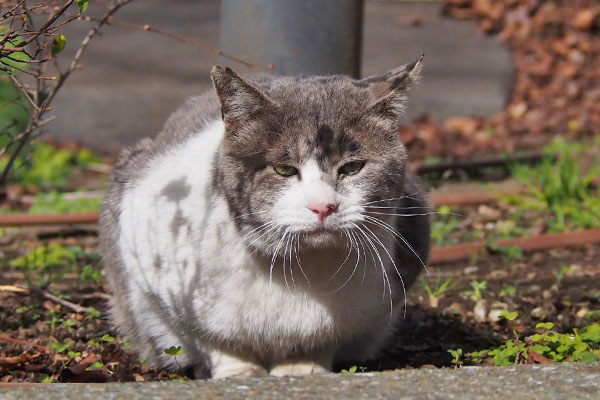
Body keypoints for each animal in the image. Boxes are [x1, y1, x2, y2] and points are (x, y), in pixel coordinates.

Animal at [98, 57, 428, 380]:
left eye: (352, 168)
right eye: (284, 170)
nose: (323, 206)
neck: (300, 270)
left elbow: (321, 341)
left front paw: (302, 368)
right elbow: (212, 339)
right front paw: (239, 372)